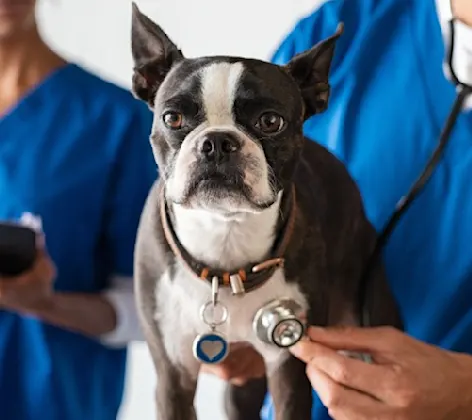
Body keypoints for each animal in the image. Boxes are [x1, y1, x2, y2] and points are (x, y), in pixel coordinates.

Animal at [132, 4, 402, 420]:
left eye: (271, 121)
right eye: (172, 118)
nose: (217, 142)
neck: (225, 240)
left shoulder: (288, 367)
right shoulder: (173, 375)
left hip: (367, 312)